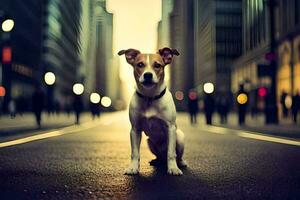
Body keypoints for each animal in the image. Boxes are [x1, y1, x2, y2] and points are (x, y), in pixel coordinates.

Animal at [118, 47, 186, 175]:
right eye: (140, 64)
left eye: (157, 65)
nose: (148, 75)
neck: (149, 97)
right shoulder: (135, 130)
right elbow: (135, 152)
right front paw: (133, 167)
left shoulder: (170, 128)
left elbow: (171, 153)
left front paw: (173, 168)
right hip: (149, 142)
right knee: (160, 156)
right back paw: (157, 160)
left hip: (180, 137)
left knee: (176, 155)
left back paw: (181, 163)